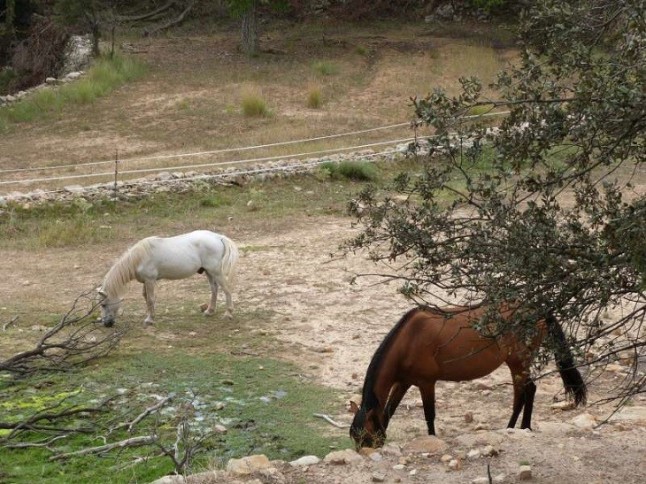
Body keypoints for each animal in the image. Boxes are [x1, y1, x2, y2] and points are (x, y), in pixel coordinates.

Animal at [98, 230, 239, 327]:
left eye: (104, 304)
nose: (106, 324)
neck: (139, 258)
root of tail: (218, 237)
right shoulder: (146, 281)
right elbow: (146, 297)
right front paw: (150, 315)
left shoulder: (150, 280)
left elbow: (150, 299)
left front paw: (149, 320)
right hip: (209, 272)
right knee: (214, 289)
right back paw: (209, 311)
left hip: (215, 271)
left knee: (226, 289)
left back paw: (228, 313)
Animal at [349, 304, 587, 449]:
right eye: (355, 437)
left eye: (366, 437)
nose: (368, 452)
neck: (409, 339)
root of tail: (538, 309)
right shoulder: (403, 382)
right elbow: (388, 412)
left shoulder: (426, 383)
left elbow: (429, 415)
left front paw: (432, 439)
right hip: (517, 363)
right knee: (523, 393)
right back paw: (513, 427)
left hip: (519, 362)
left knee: (527, 391)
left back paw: (521, 427)